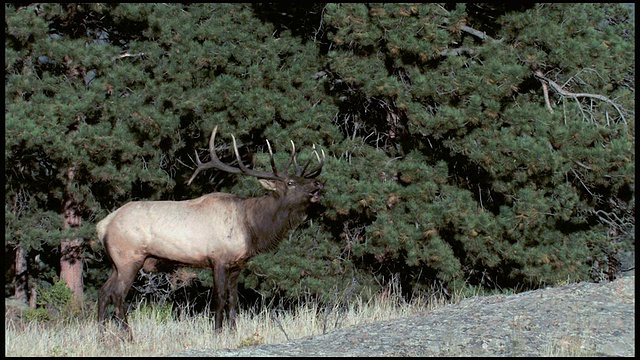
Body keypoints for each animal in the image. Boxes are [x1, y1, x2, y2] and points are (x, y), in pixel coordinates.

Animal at [96, 125, 324, 338]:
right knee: (118, 294)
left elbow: (234, 299)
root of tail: (103, 225)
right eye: (290, 182)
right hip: (129, 257)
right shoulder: (218, 259)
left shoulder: (237, 264)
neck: (250, 228)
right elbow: (219, 298)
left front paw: (233, 331)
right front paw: (217, 332)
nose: (317, 183)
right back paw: (128, 337)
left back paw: (102, 336)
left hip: (116, 262)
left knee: (103, 292)